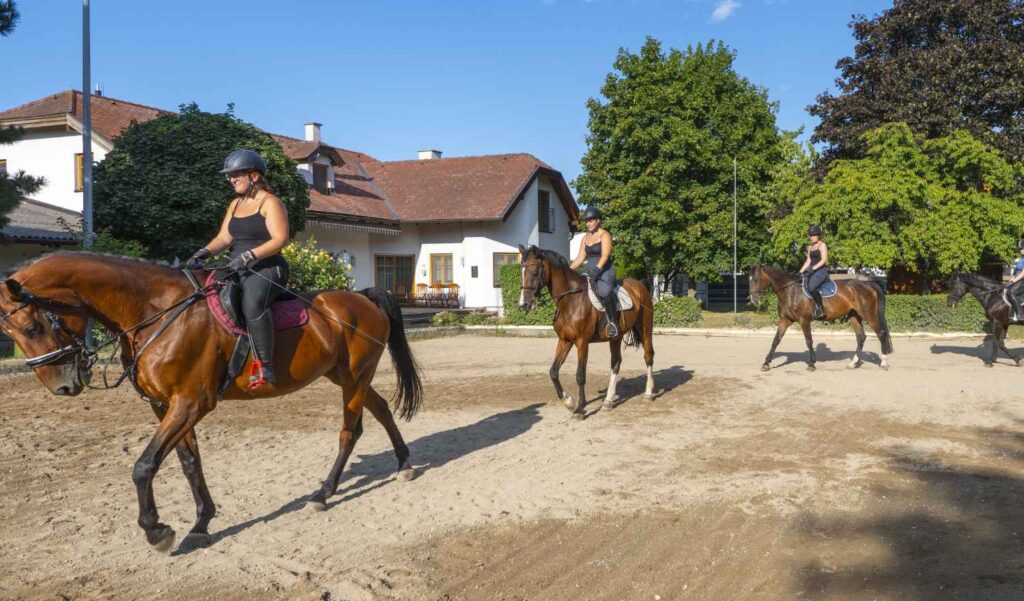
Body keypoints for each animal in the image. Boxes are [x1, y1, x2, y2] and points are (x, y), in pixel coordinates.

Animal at [0, 251, 423, 552]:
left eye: (33, 326)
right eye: (15, 333)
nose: (63, 387)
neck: (155, 311)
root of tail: (362, 298)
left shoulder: (191, 402)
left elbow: (144, 466)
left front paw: (156, 530)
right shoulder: (165, 405)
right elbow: (189, 462)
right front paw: (201, 523)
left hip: (354, 377)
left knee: (349, 431)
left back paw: (324, 493)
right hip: (343, 375)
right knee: (381, 409)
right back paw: (404, 464)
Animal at [520, 246, 655, 421]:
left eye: (535, 269)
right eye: (521, 269)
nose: (523, 304)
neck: (570, 301)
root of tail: (640, 284)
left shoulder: (581, 342)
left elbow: (580, 375)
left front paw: (580, 408)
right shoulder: (565, 340)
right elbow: (553, 372)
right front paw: (569, 402)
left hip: (645, 328)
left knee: (648, 356)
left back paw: (648, 393)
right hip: (616, 337)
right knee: (616, 363)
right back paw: (608, 402)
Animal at [745, 264, 897, 370]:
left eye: (756, 279)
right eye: (750, 280)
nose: (753, 299)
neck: (790, 291)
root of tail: (868, 284)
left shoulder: (804, 321)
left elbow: (809, 341)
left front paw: (812, 363)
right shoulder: (785, 320)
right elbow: (776, 340)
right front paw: (766, 363)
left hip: (869, 315)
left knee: (881, 333)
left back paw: (883, 362)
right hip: (854, 315)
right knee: (861, 336)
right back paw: (853, 363)